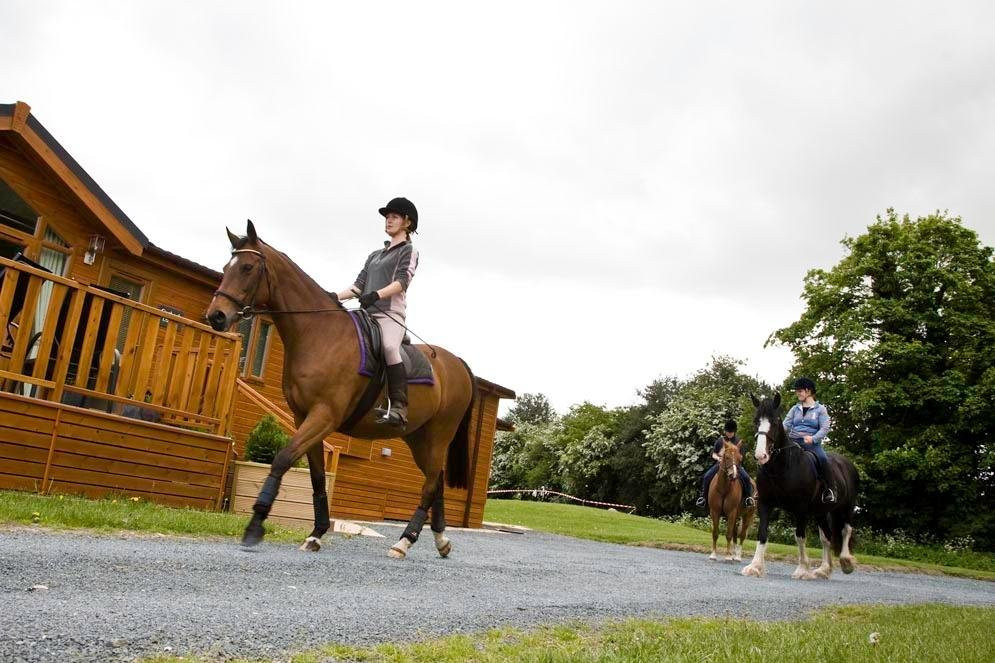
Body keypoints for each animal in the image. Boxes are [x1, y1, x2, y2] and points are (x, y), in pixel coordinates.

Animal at [204, 223, 476, 560]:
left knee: (429, 485)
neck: (320, 334)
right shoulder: (304, 417)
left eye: (247, 268)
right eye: (227, 267)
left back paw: (404, 540)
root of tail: (457, 363)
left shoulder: (324, 417)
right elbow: (317, 476)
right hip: (418, 437)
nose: (216, 316)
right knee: (435, 481)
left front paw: (255, 526)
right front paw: (316, 533)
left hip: (438, 435)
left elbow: (282, 458)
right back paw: (439, 540)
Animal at [744, 394, 860, 580]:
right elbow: (762, 534)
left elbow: (799, 536)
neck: (782, 467)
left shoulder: (801, 508)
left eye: (775, 422)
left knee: (846, 530)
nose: (761, 455)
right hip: (821, 512)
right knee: (827, 537)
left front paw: (802, 569)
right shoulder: (765, 504)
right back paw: (823, 570)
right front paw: (755, 567)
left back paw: (846, 562)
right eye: (756, 421)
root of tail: (847, 464)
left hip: (846, 507)